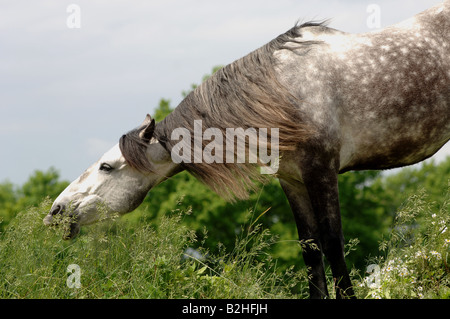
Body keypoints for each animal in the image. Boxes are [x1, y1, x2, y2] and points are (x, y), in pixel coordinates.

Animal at [43, 1, 450, 300]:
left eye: (107, 167)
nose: (56, 212)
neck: (283, 94)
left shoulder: (321, 172)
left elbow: (333, 245)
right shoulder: (293, 180)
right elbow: (311, 249)